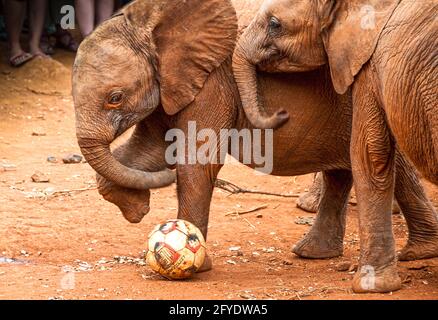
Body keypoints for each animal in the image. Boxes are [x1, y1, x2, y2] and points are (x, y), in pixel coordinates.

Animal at [72, 0, 438, 294]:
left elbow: (196, 161)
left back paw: (413, 254)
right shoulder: (172, 85)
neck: (147, 20)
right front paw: (135, 206)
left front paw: (197, 266)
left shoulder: (210, 80)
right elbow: (147, 150)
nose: (281, 114)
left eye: (115, 98)